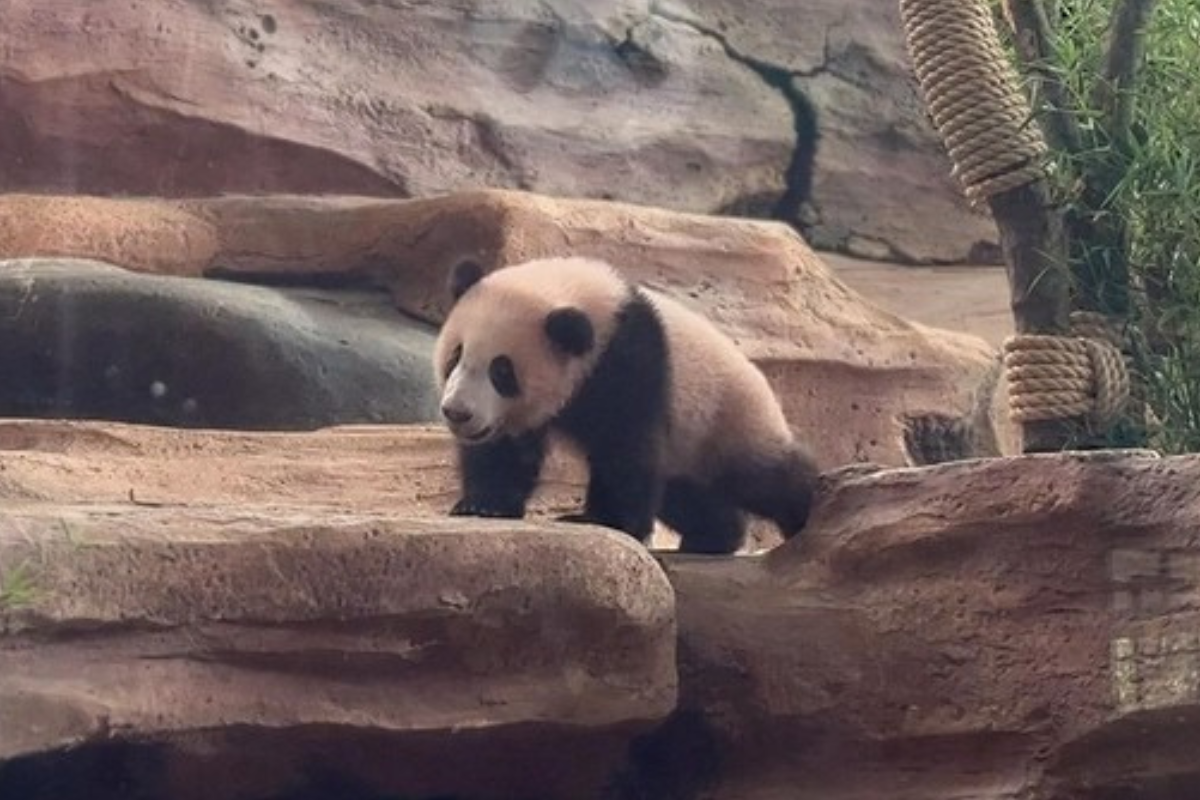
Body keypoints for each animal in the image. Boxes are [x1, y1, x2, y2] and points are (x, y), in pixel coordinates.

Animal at [432, 255, 820, 555]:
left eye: (501, 371)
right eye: (456, 355)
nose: (458, 413)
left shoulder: (629, 360)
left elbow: (624, 445)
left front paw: (603, 520)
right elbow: (505, 451)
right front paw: (483, 504)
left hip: (727, 419)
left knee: (766, 477)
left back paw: (810, 512)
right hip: (688, 449)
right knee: (685, 494)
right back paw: (714, 536)